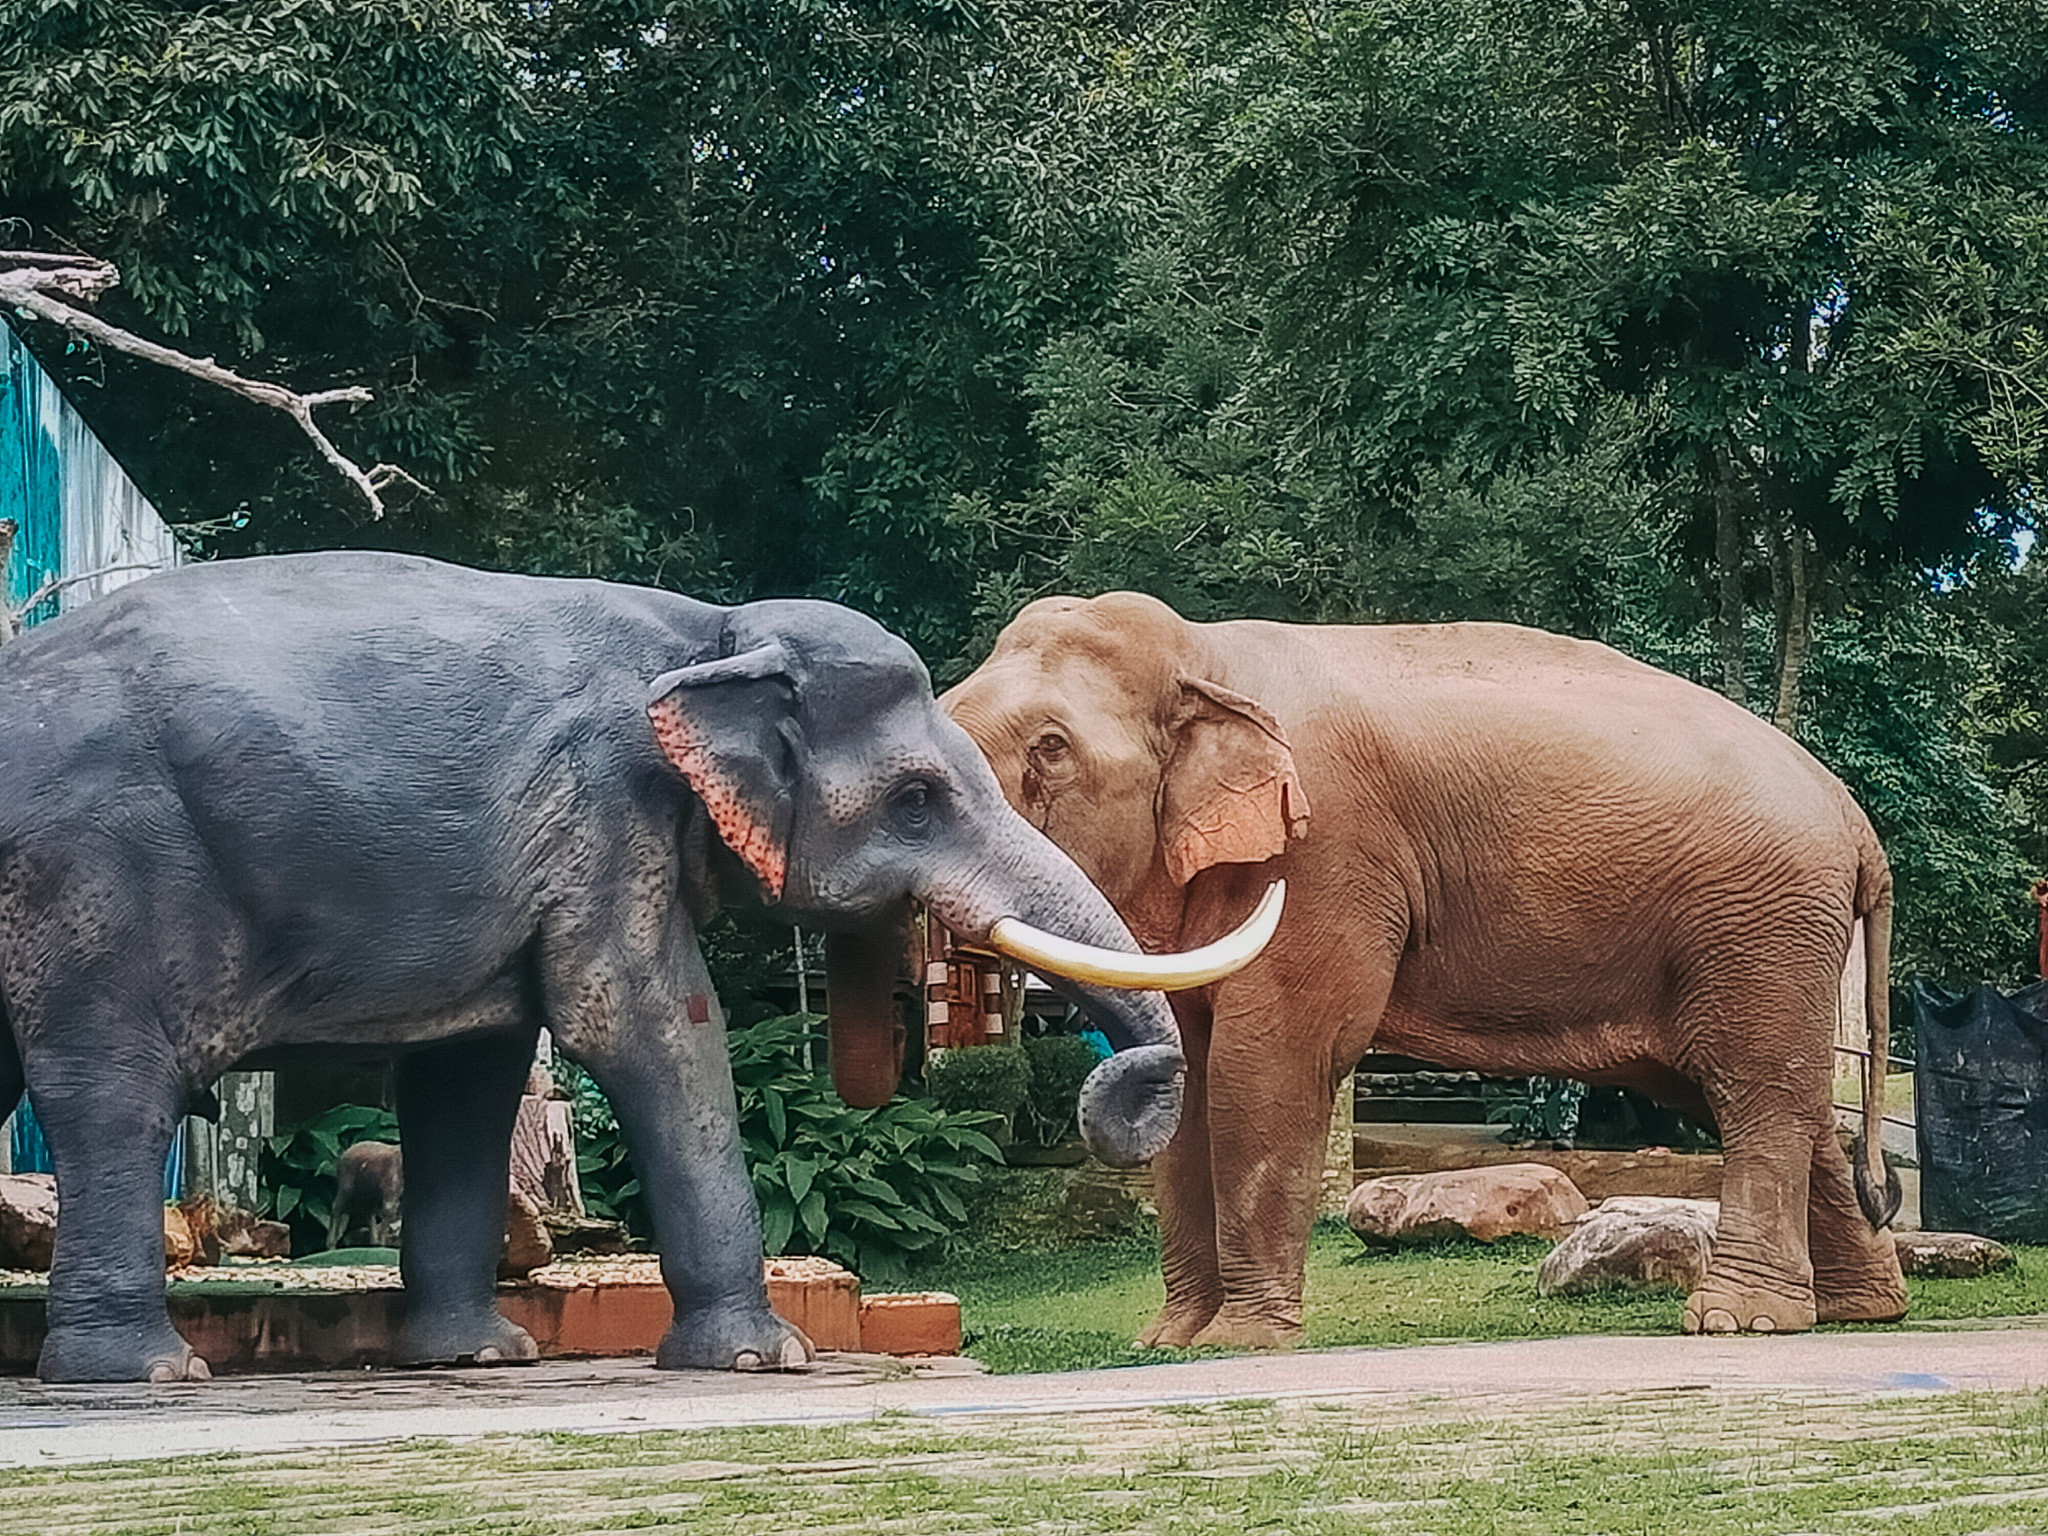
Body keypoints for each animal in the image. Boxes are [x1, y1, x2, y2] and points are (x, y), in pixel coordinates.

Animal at [0, 552, 1245, 1384]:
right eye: (914, 801)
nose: (1111, 1099)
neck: (710, 629)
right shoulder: (606, 814)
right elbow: (646, 1025)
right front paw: (763, 1362)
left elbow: (471, 1069)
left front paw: (481, 1360)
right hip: (97, 872)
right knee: (112, 1090)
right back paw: (145, 1372)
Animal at [942, 589, 1900, 1343]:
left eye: (1050, 747)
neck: (1207, 654)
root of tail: (1859, 825)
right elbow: (1192, 1062)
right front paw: (1169, 1345)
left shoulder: (1327, 855)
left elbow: (1270, 1063)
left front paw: (1239, 1344)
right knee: (1779, 1102)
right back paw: (1857, 1312)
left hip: (1760, 925)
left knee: (1754, 1093)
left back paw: (1737, 1320)